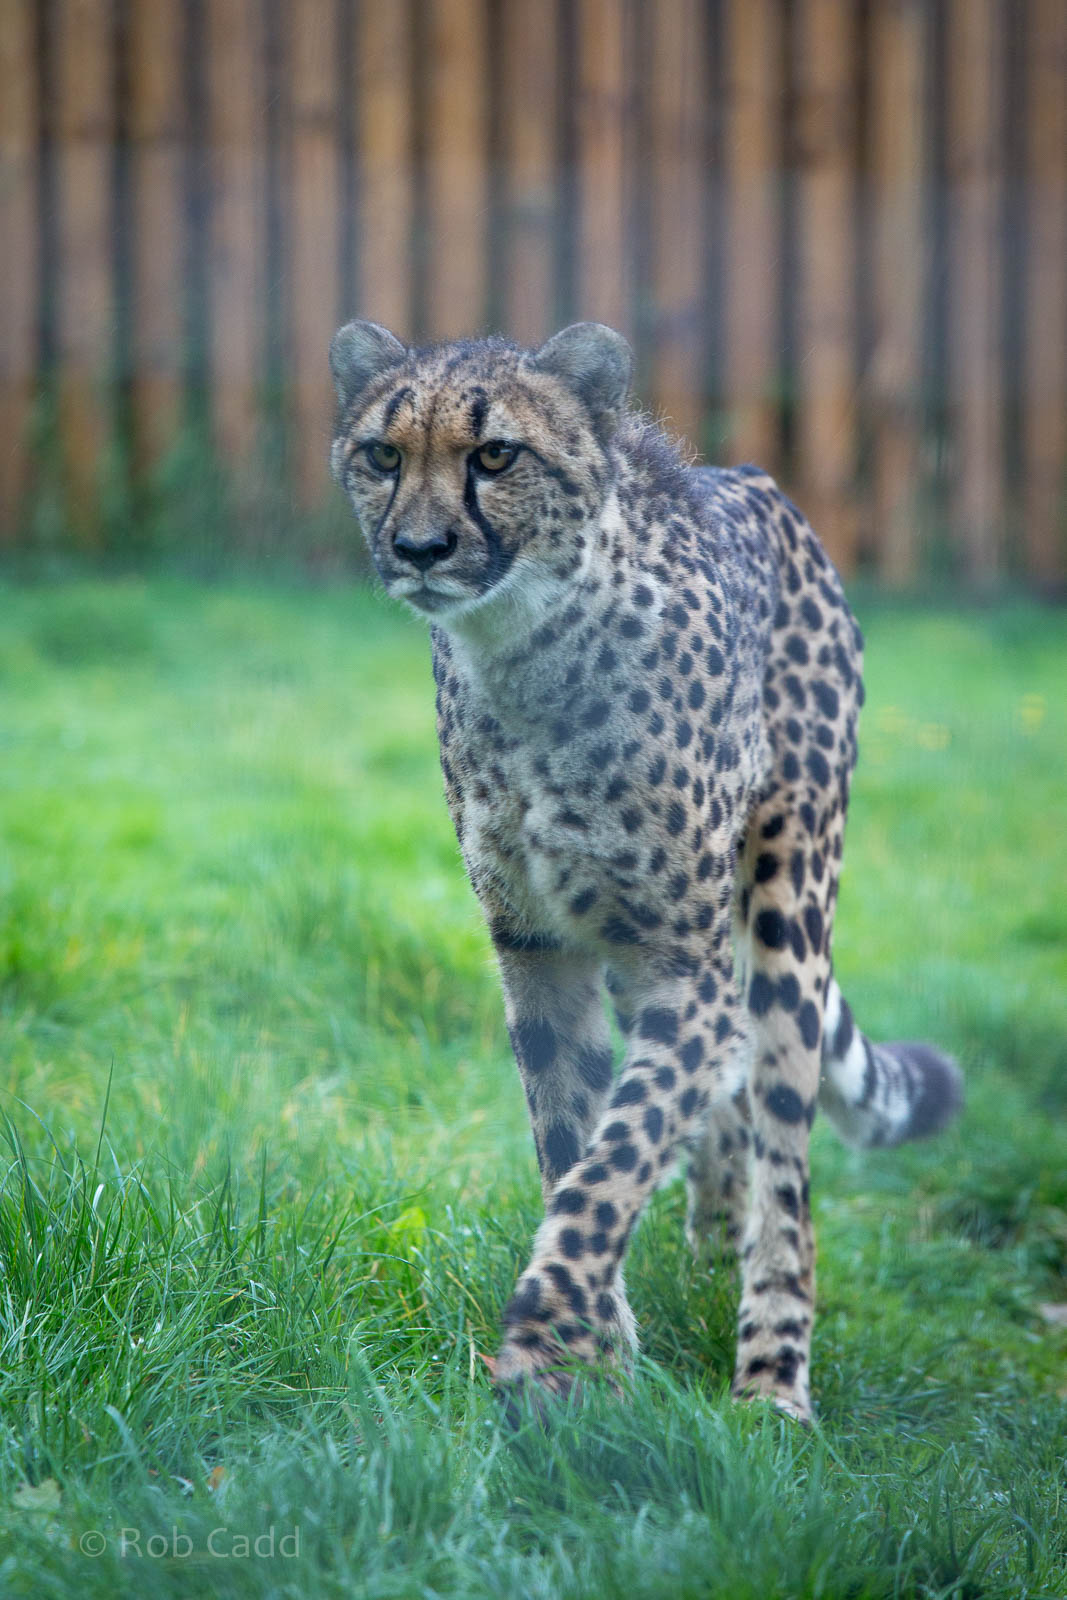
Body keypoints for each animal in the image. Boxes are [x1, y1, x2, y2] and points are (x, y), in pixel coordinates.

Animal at [328, 318, 963, 1423]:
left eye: (494, 456)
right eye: (382, 454)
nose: (418, 548)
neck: (526, 653)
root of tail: (750, 475)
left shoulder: (685, 967)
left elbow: (612, 1161)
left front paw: (546, 1341)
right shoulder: (538, 949)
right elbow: (575, 1147)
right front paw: (600, 1357)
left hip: (786, 910)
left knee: (785, 1158)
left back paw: (771, 1383)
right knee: (729, 1116)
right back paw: (709, 1239)